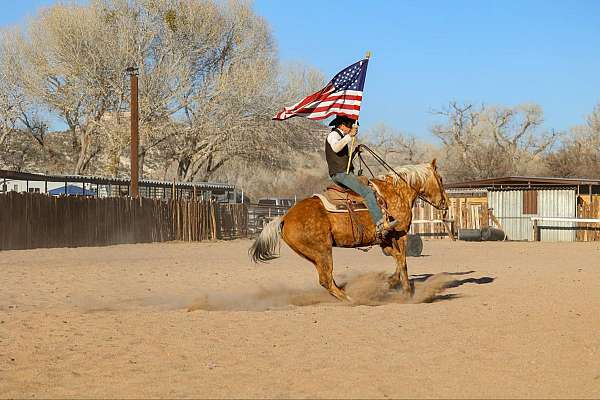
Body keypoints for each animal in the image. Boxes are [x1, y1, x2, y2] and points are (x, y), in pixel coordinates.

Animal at [248, 159, 450, 300]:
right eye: (440, 179)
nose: (445, 203)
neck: (396, 192)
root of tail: (284, 218)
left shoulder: (385, 239)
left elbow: (398, 259)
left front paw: (391, 282)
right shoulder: (399, 234)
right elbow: (402, 260)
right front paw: (406, 291)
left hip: (312, 255)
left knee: (328, 280)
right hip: (322, 251)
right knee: (326, 279)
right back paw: (352, 298)